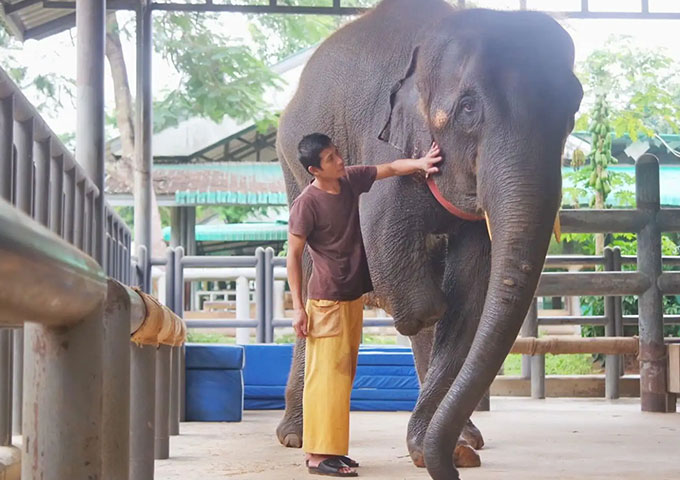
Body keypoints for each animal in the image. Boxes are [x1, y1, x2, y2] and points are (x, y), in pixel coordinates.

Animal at [275, 1, 583, 479]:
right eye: (469, 108)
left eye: (574, 108)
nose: (452, 471)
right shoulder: (385, 142)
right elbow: (417, 297)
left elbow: (469, 297)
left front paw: (447, 452)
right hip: (292, 163)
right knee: (308, 276)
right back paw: (294, 437)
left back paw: (466, 437)